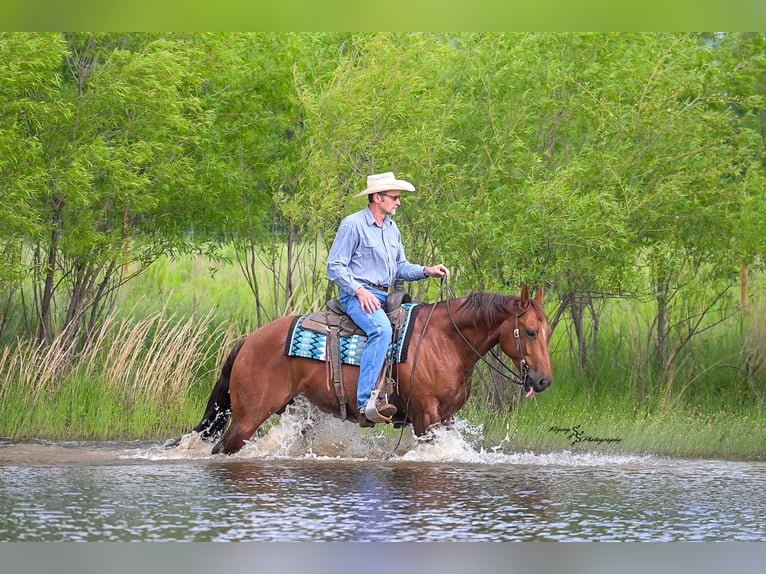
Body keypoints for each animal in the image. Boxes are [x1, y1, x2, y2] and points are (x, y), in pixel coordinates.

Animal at [186, 285, 553, 455]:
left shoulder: (446, 417)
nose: (543, 380)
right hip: (249, 417)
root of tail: (248, 340)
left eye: (547, 331)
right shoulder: (425, 418)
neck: (445, 341)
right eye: (529, 332)